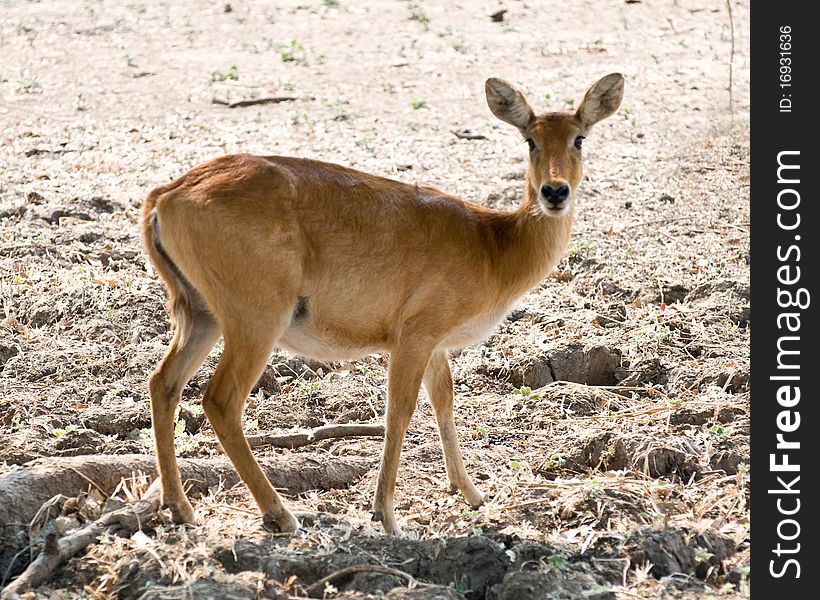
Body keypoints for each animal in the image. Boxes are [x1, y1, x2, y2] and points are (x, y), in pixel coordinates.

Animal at [143, 71, 628, 536]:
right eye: (530, 139)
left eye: (579, 137)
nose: (555, 192)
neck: (493, 244)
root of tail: (166, 194)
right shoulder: (414, 335)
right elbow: (401, 411)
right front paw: (386, 515)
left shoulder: (435, 344)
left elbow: (444, 400)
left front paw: (471, 493)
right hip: (257, 317)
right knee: (220, 400)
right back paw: (279, 514)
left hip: (200, 313)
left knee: (163, 383)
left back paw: (180, 508)